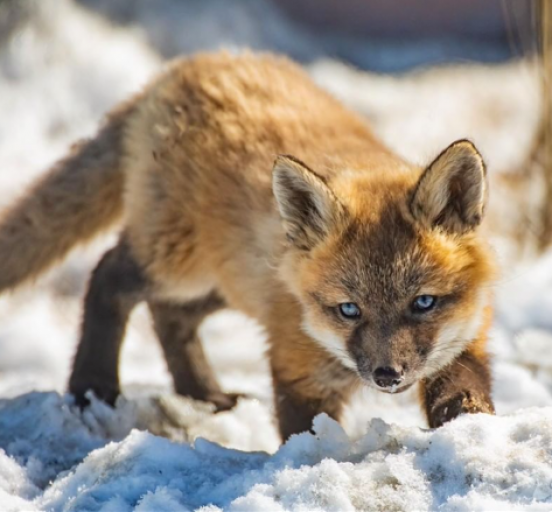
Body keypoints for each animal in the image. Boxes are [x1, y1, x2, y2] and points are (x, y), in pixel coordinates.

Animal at [0, 52, 496, 440]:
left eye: (424, 303)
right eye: (349, 310)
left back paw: (203, 393)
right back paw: (93, 386)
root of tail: (190, 63)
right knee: (108, 275)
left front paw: (470, 437)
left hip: (228, 283)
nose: (387, 375)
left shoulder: (463, 340)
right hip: (177, 265)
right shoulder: (298, 367)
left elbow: (465, 395)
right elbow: (303, 432)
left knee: (170, 316)